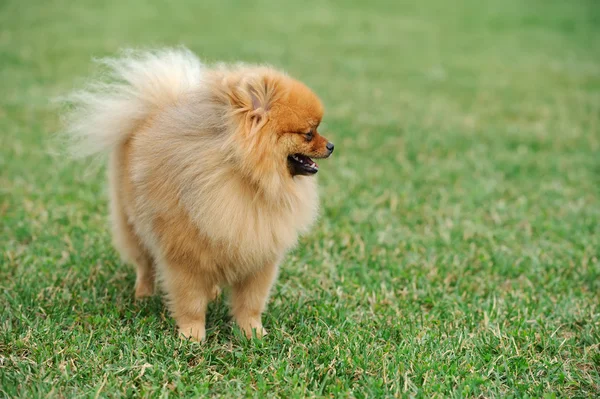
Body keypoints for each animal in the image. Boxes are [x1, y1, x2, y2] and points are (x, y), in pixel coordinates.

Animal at [63, 47, 336, 340]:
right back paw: (143, 295)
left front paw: (252, 332)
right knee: (145, 264)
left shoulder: (259, 256)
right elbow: (191, 301)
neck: (247, 178)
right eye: (309, 133)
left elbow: (250, 302)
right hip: (133, 225)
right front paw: (192, 336)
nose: (331, 145)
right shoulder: (185, 257)